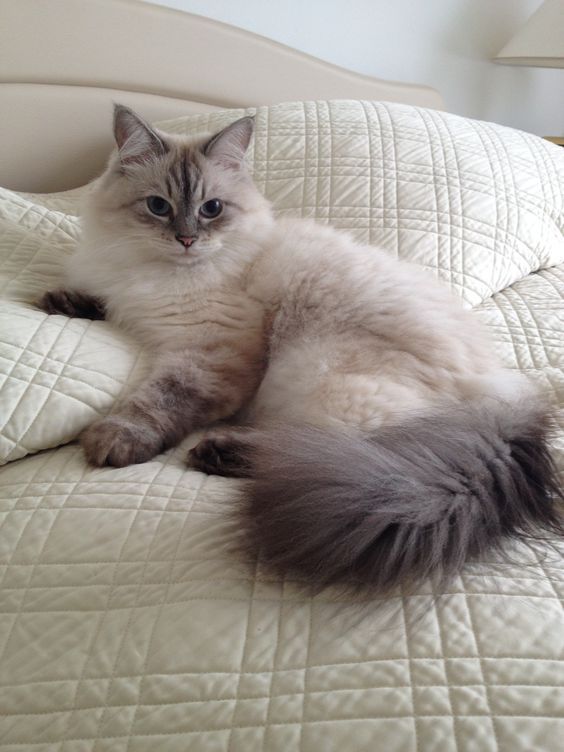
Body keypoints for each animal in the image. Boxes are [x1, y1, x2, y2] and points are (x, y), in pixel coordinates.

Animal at [39, 106, 560, 592]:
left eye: (212, 209)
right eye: (157, 206)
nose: (186, 239)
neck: (153, 272)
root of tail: (506, 402)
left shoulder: (210, 352)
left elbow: (160, 399)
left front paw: (114, 440)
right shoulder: (126, 297)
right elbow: (99, 301)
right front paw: (62, 302)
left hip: (317, 376)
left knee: (320, 450)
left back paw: (217, 453)